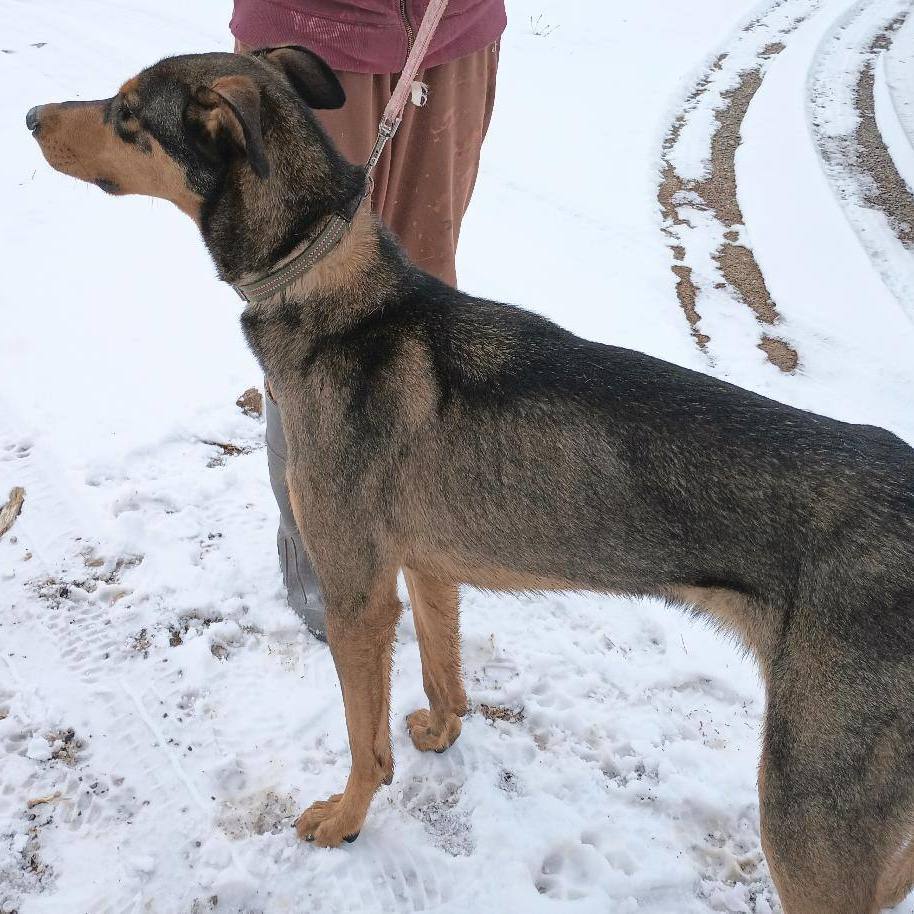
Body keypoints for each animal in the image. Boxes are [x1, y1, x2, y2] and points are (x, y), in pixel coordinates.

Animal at [28, 46, 912, 908]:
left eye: (126, 113)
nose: (31, 115)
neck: (325, 282)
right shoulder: (426, 566)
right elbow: (443, 670)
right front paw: (443, 733)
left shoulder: (357, 595)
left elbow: (364, 742)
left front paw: (346, 820)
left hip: (809, 819)